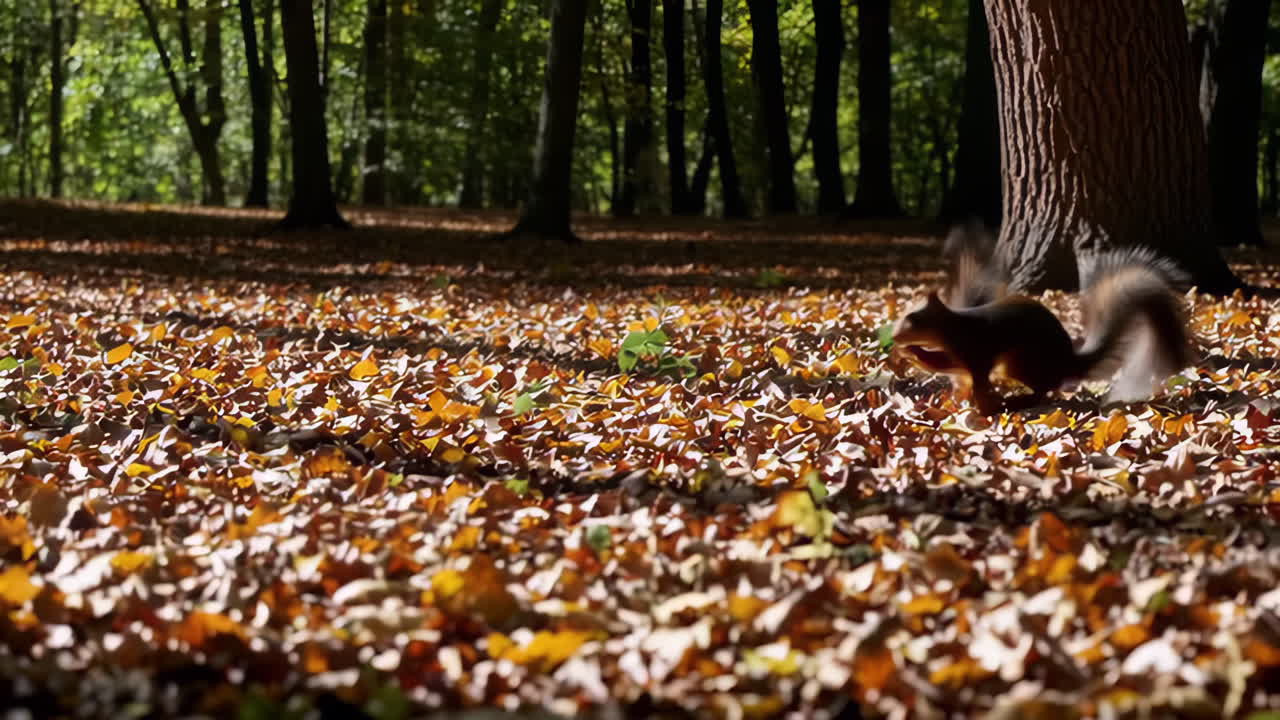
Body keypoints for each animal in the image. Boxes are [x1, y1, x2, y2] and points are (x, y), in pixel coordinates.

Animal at [892, 223, 1196, 415]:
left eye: (913, 319)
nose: (894, 336)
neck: (951, 327)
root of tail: (1066, 362)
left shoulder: (975, 352)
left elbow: (978, 382)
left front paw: (986, 408)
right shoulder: (958, 355)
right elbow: (943, 364)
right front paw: (913, 353)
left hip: (1021, 362)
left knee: (1044, 389)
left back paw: (1018, 401)